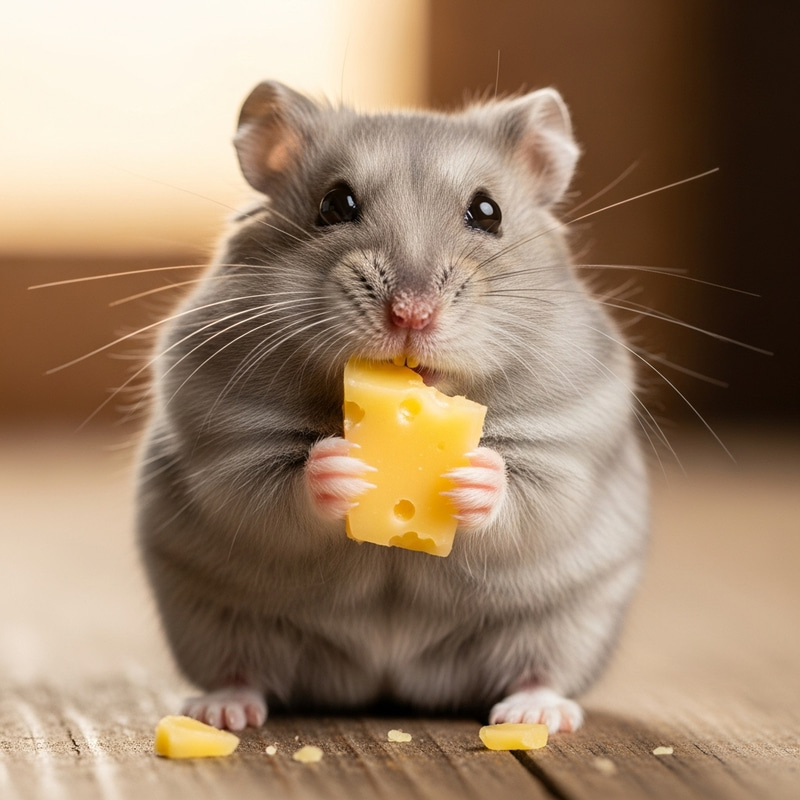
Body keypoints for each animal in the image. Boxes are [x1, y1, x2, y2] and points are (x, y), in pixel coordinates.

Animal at [136, 81, 649, 733]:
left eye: (488, 212)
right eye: (334, 204)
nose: (411, 314)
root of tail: (384, 679)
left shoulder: (570, 446)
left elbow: (529, 493)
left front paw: (473, 475)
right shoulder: (224, 442)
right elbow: (272, 491)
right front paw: (340, 466)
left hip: (567, 623)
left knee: (541, 670)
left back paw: (536, 714)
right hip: (213, 620)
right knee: (243, 670)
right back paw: (221, 712)